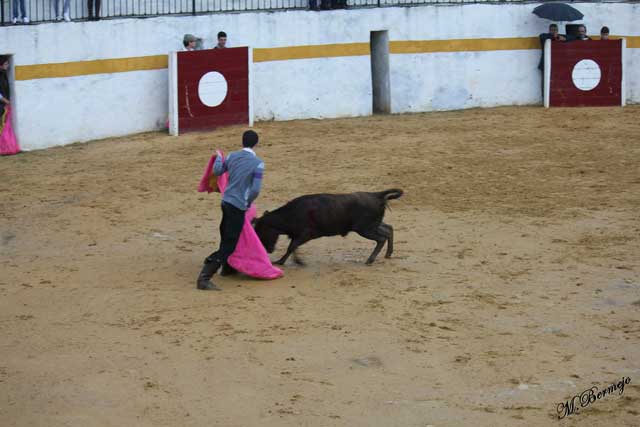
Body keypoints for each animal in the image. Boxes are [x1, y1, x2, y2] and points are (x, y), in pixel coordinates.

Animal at [252, 190, 402, 266]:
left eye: (261, 231)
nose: (267, 250)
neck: (291, 214)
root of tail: (376, 195)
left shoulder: (305, 234)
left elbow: (291, 247)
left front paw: (284, 262)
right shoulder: (297, 235)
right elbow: (293, 247)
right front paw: (292, 261)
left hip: (365, 229)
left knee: (381, 238)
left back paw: (370, 260)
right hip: (372, 225)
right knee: (388, 229)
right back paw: (388, 254)